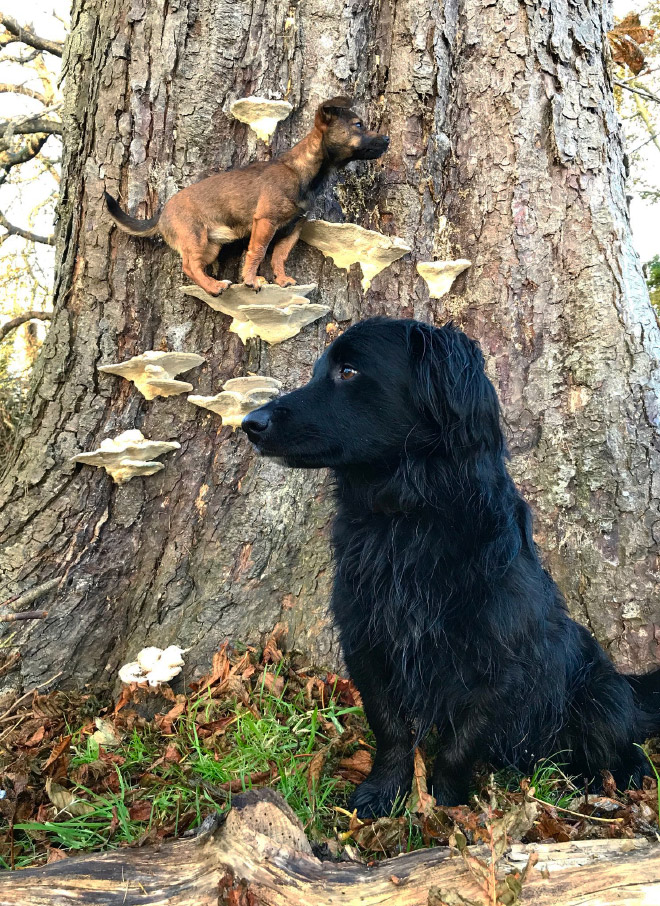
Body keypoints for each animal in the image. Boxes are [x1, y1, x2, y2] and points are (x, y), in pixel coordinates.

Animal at [105, 96, 390, 294]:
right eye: (358, 125)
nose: (387, 139)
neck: (304, 171)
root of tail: (162, 213)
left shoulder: (292, 229)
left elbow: (279, 256)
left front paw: (281, 279)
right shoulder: (266, 222)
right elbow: (258, 252)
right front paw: (251, 280)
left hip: (211, 248)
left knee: (196, 265)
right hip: (195, 238)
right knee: (189, 266)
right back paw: (214, 286)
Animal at [242, 316, 660, 812]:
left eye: (348, 372)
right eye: (316, 371)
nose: (248, 422)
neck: (406, 520)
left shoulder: (498, 665)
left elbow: (461, 743)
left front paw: (445, 805)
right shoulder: (366, 643)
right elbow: (390, 729)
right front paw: (384, 791)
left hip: (598, 695)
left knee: (622, 744)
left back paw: (611, 778)